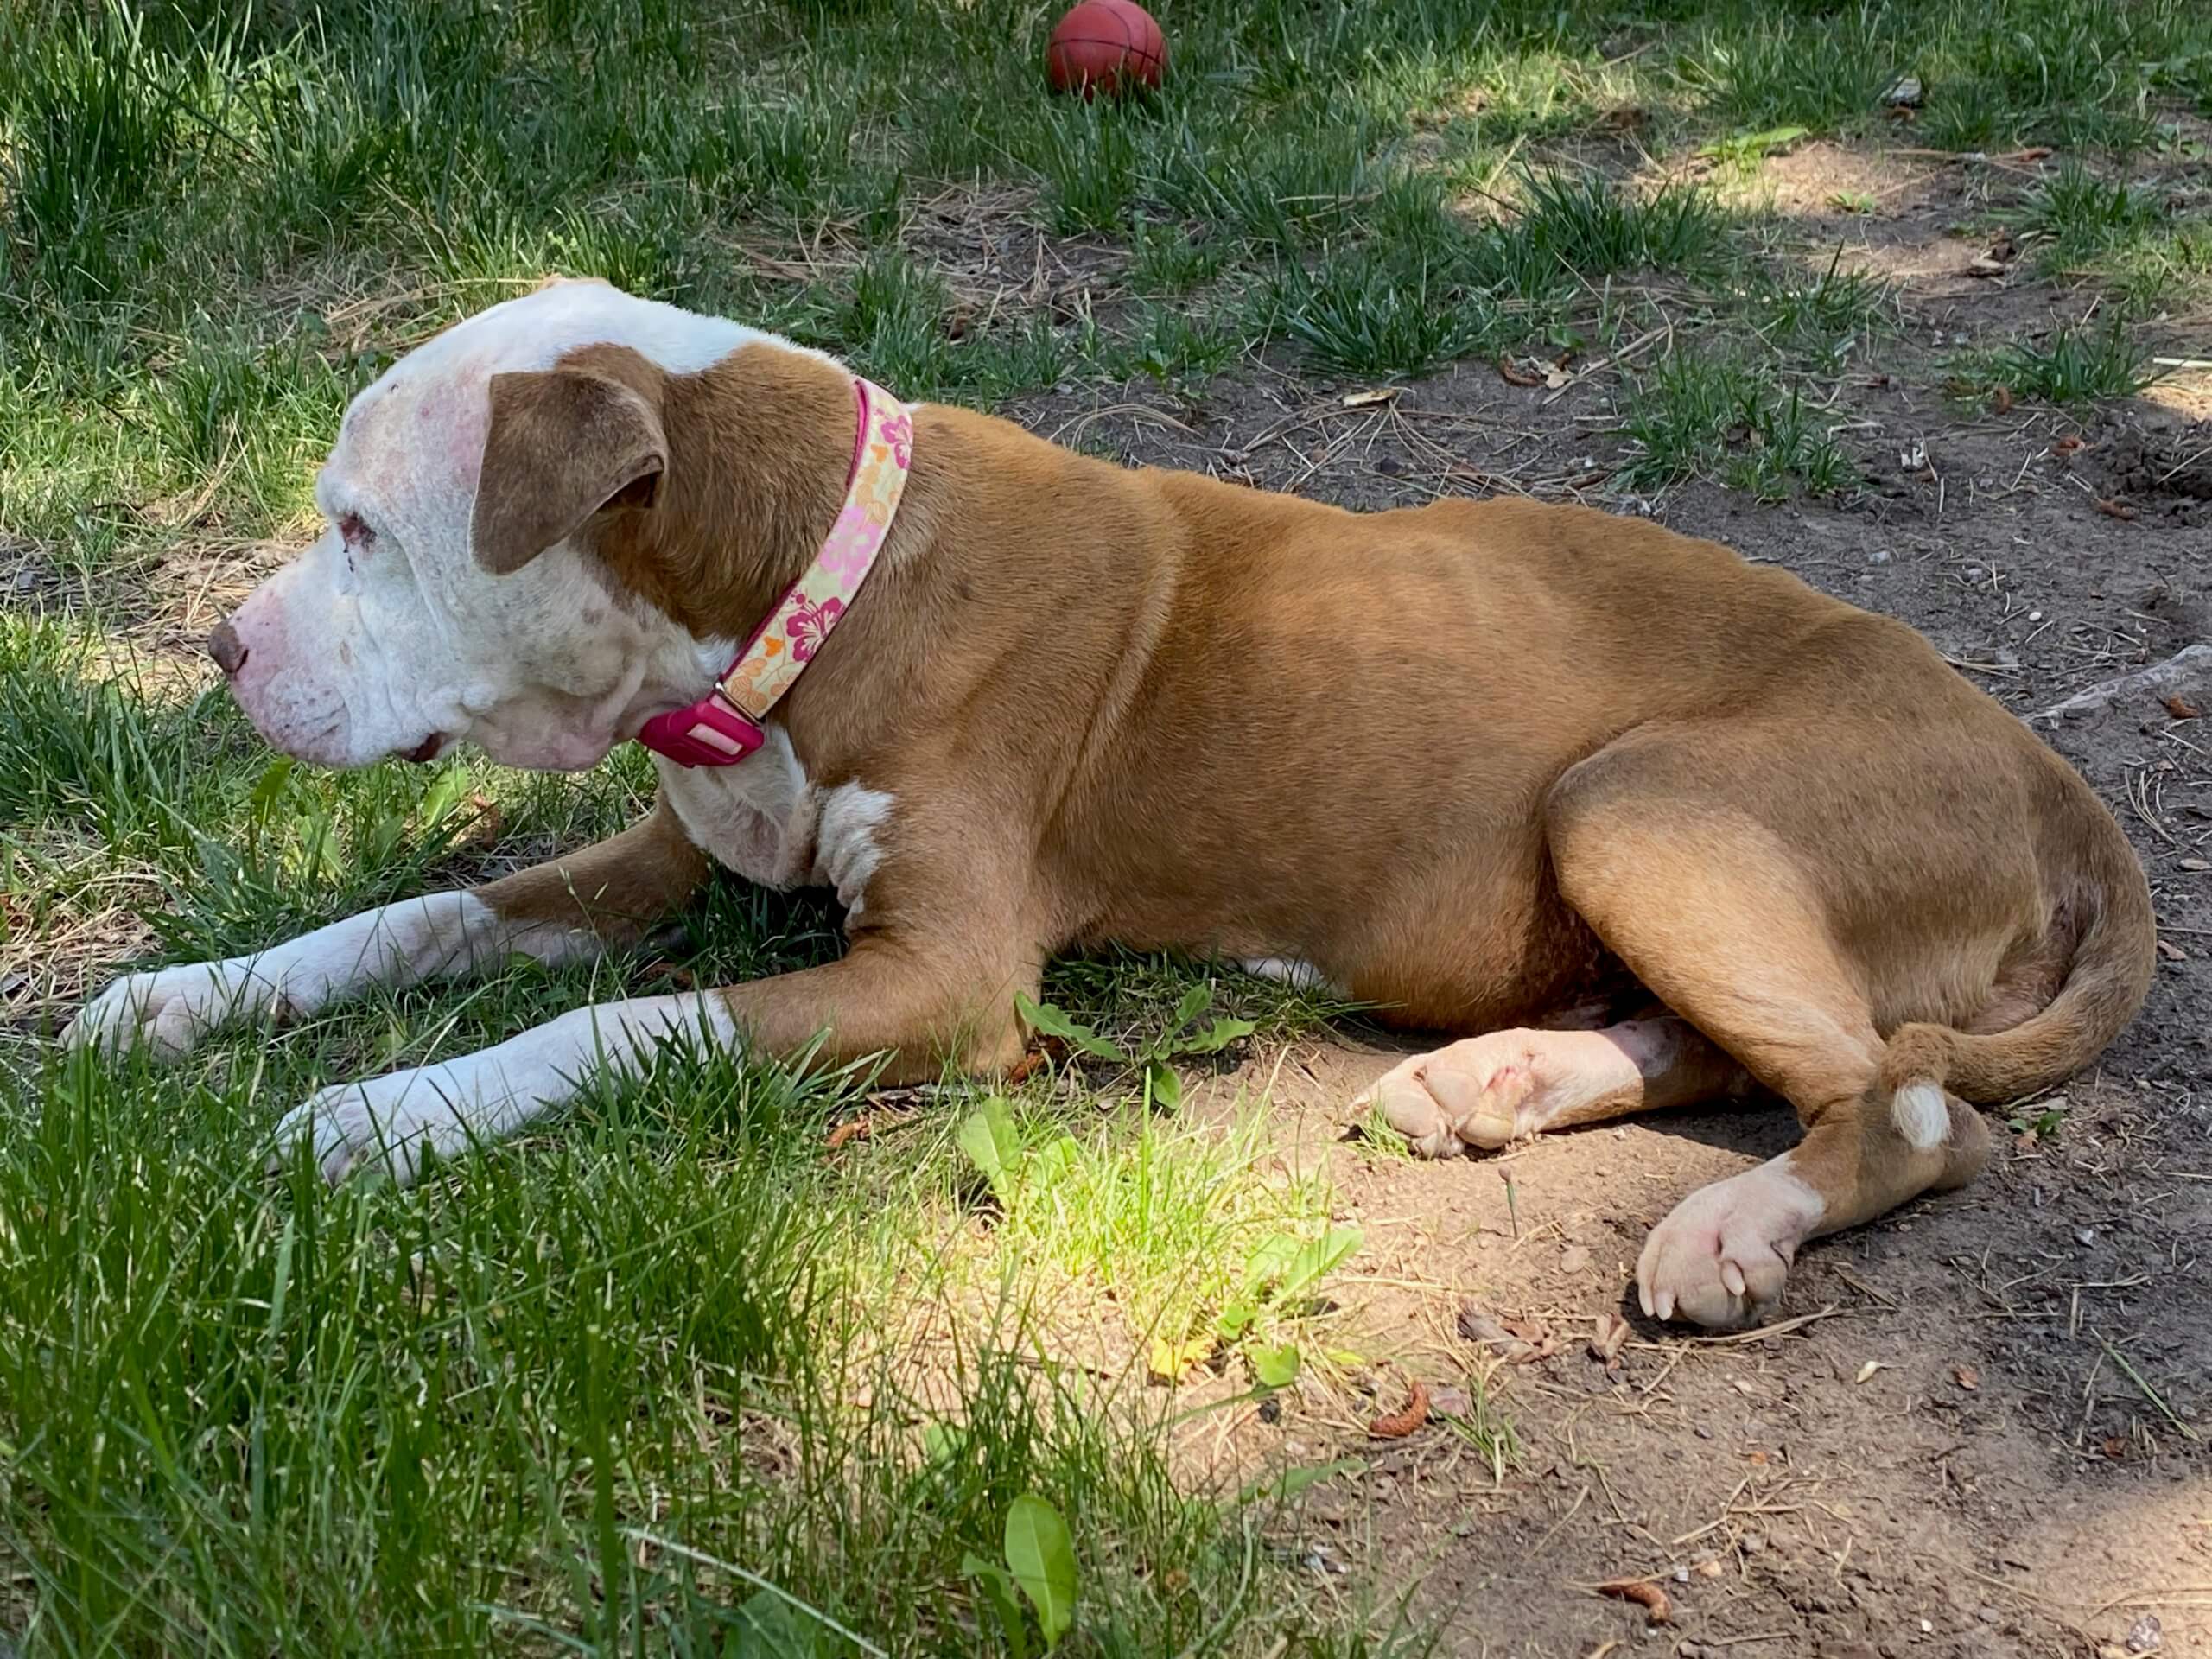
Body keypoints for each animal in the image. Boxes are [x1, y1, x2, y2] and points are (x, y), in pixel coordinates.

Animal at [69, 280, 2155, 1330]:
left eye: (364, 531)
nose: (222, 653)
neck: (823, 577)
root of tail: (2053, 777)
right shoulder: (668, 849)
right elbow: (415, 914)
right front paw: (180, 1001)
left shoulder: (943, 984)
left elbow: (618, 1026)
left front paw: (385, 1117)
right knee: (1756, 1047)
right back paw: (1497, 1080)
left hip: (1642, 799)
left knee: (1902, 1101)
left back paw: (1730, 1229)